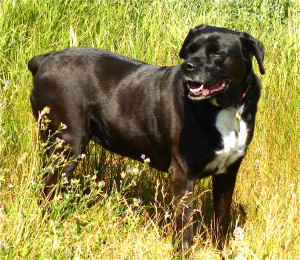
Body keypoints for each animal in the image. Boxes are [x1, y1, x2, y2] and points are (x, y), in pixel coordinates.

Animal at [28, 25, 264, 251]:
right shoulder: (183, 174)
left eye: (216, 53)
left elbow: (221, 222)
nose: (187, 66)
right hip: (67, 147)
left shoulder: (227, 173)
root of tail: (43, 60)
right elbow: (185, 231)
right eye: (189, 51)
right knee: (45, 192)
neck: (227, 108)